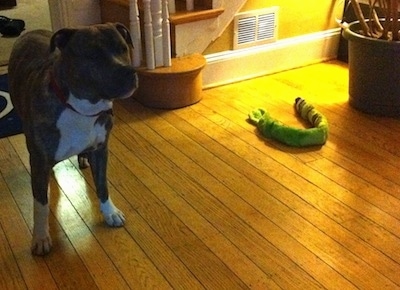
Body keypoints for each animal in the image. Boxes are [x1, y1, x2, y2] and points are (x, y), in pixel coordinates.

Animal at [8, 23, 138, 256]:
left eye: (123, 48)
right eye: (94, 54)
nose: (130, 71)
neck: (81, 109)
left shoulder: (101, 150)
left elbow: (102, 185)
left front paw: (110, 212)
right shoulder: (39, 160)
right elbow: (40, 203)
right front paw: (40, 236)